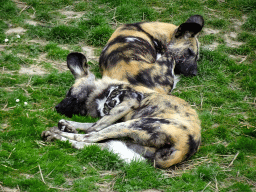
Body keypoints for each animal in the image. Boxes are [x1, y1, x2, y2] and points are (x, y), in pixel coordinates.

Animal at [42, 52, 201, 168]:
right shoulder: (112, 116)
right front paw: (67, 125)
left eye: (69, 93)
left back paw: (57, 134)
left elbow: (92, 128)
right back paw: (56, 135)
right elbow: (86, 124)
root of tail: (187, 146)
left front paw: (67, 128)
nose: (57, 107)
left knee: (90, 137)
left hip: (129, 125)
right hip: (133, 143)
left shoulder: (130, 100)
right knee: (92, 144)